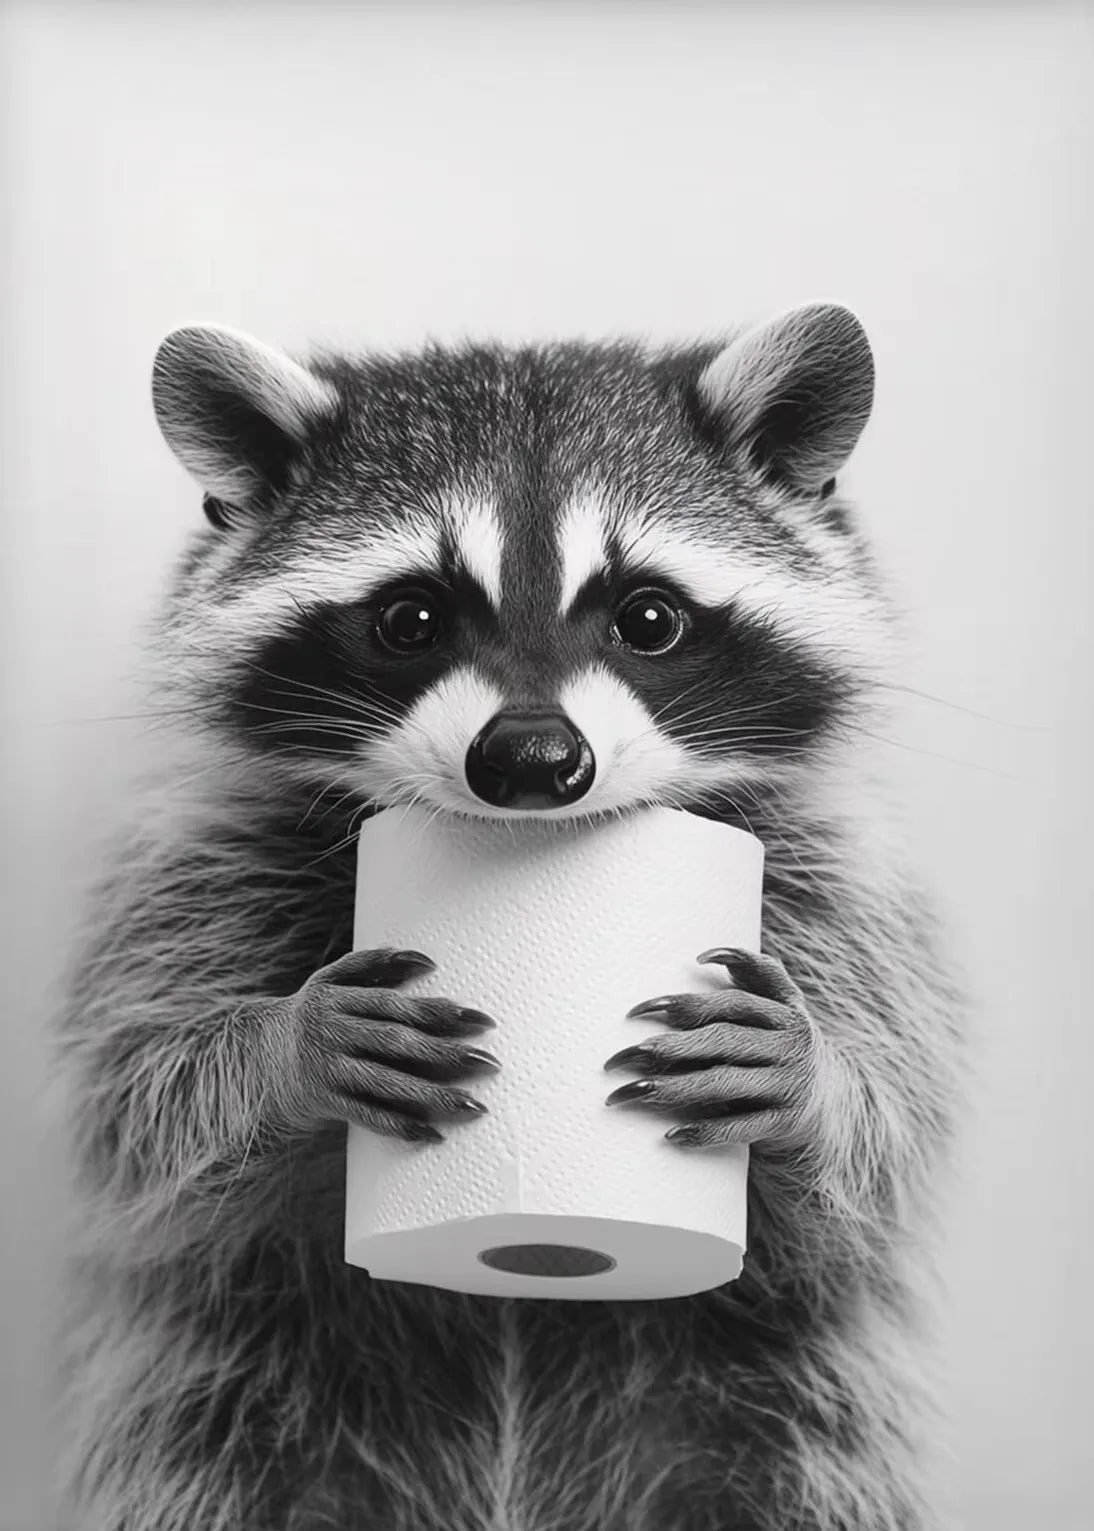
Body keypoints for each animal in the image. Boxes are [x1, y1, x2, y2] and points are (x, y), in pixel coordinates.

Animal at [57, 305, 965, 1531]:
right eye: (409, 619)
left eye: (647, 617)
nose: (532, 760)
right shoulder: (207, 861)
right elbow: (139, 1100)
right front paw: (277, 1049)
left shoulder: (830, 874)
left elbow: (891, 1135)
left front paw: (817, 1081)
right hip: (242, 1404)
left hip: (770, 1415)